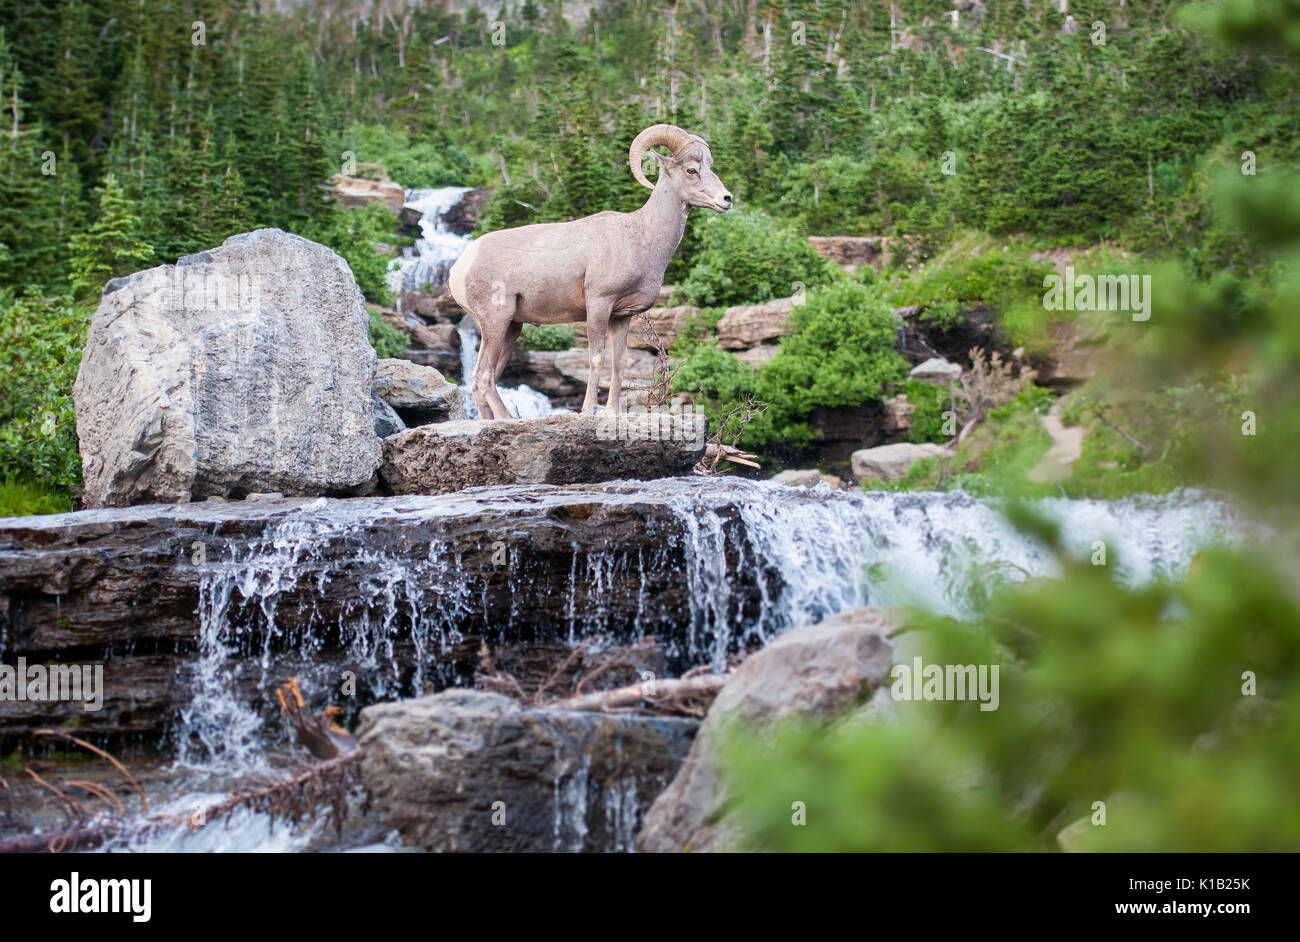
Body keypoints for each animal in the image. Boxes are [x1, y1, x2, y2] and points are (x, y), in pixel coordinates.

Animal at [447, 122, 733, 415]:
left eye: (710, 166)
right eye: (691, 170)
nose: (727, 198)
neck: (640, 237)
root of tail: (460, 267)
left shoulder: (622, 316)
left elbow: (619, 363)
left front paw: (613, 411)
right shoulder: (598, 305)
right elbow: (596, 358)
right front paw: (589, 409)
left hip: (511, 328)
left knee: (483, 379)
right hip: (496, 322)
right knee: (483, 376)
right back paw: (508, 420)